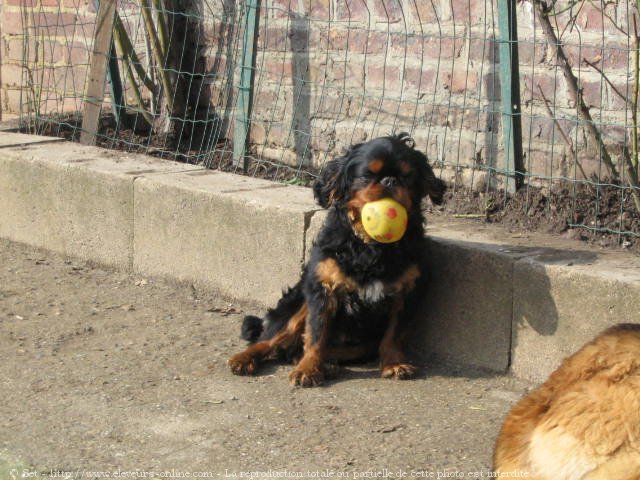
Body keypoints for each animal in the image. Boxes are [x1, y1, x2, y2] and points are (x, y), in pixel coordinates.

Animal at [229, 134, 444, 386]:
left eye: (407, 176)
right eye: (367, 175)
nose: (390, 181)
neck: (370, 246)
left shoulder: (407, 292)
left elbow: (394, 334)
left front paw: (394, 364)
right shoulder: (322, 289)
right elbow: (316, 334)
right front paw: (308, 369)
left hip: (359, 346)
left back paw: (326, 364)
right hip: (297, 302)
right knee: (273, 339)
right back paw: (245, 358)